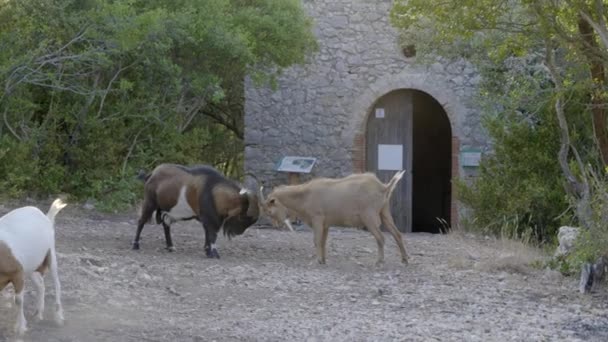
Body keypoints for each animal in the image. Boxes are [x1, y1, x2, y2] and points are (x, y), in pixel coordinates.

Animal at [0, 198, 66, 336]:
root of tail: (46, 217)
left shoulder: (18, 273)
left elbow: (18, 300)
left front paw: (20, 328)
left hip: (50, 254)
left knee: (57, 284)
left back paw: (58, 318)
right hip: (31, 266)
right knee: (40, 285)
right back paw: (38, 314)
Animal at [258, 172, 408, 266]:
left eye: (269, 211)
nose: (277, 226)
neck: (305, 195)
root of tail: (384, 187)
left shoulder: (317, 218)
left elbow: (316, 240)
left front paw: (318, 261)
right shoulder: (325, 224)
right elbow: (323, 241)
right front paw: (323, 260)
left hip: (369, 216)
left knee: (380, 237)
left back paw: (379, 261)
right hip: (384, 212)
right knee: (397, 234)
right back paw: (405, 259)